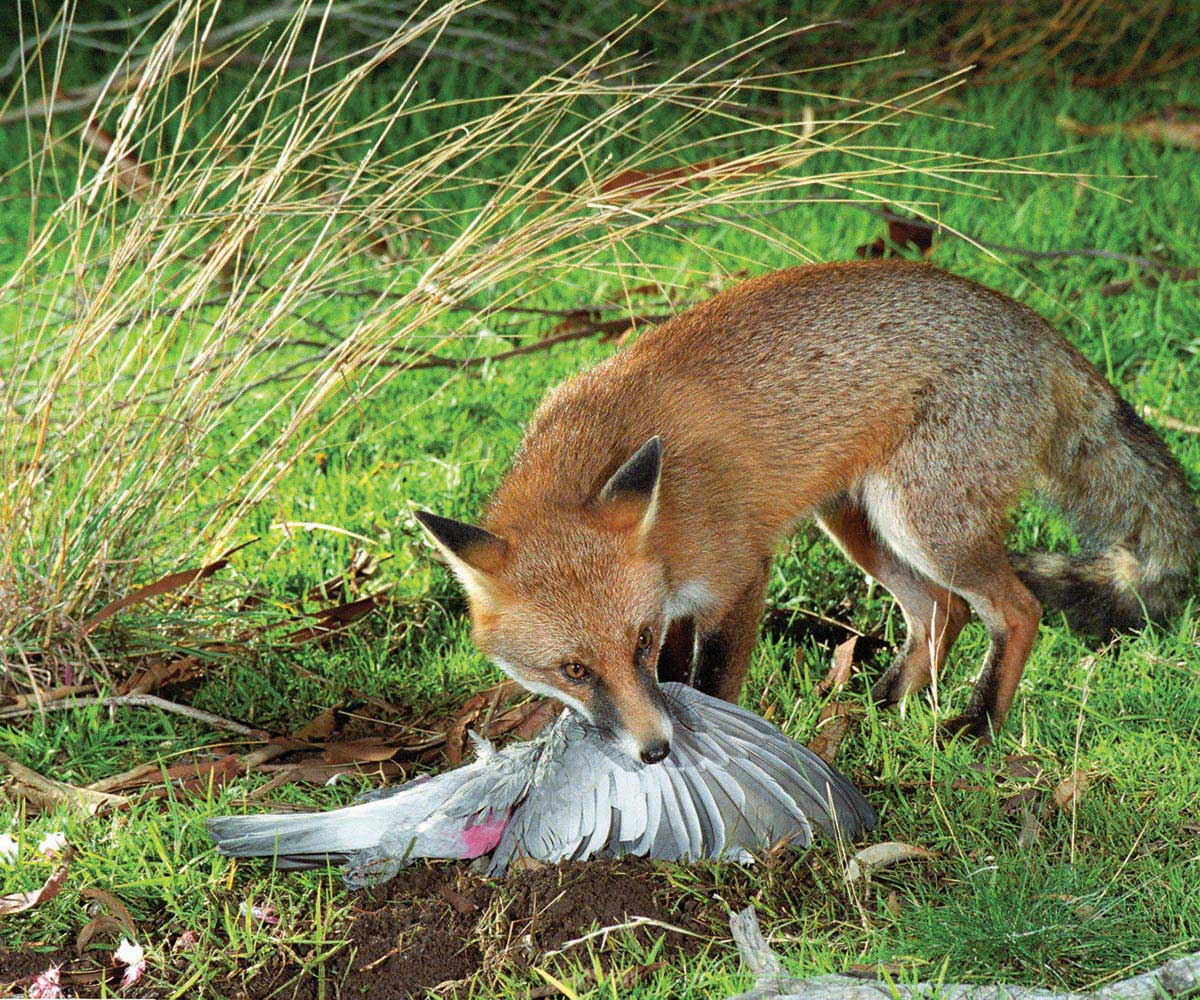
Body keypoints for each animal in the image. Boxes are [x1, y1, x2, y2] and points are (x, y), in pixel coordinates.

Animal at [415, 259, 1200, 758]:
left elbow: (707, 684)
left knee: (1016, 609)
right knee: (938, 611)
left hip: (922, 522)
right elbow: (676, 680)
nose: (654, 752)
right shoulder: (675, 603)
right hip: (859, 525)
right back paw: (880, 708)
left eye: (633, 644)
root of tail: (1038, 326)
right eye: (572, 670)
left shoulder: (735, 578)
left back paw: (978, 725)